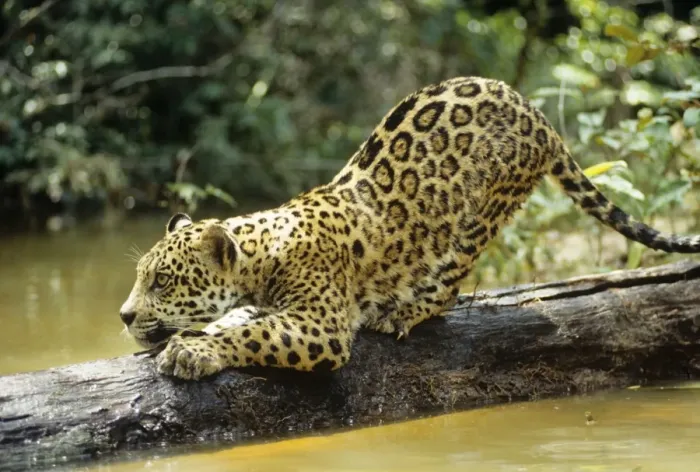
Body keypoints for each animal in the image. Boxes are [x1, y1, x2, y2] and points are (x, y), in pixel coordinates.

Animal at [120, 76, 700, 380]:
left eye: (162, 282)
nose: (123, 315)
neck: (262, 253)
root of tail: (534, 111)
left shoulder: (321, 326)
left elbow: (252, 334)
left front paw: (194, 351)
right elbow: (235, 319)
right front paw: (199, 335)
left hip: (480, 214)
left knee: (449, 286)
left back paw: (403, 312)